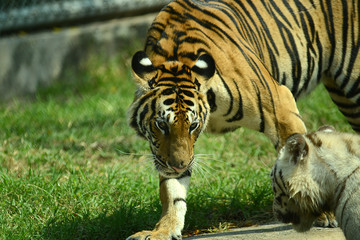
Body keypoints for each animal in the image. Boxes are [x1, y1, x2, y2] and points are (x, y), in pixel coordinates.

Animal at [126, 0, 360, 239]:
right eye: (161, 125)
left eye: (193, 126)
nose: (178, 166)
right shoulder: (164, 153)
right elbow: (172, 191)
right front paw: (163, 229)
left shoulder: (280, 106)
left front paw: (322, 213)